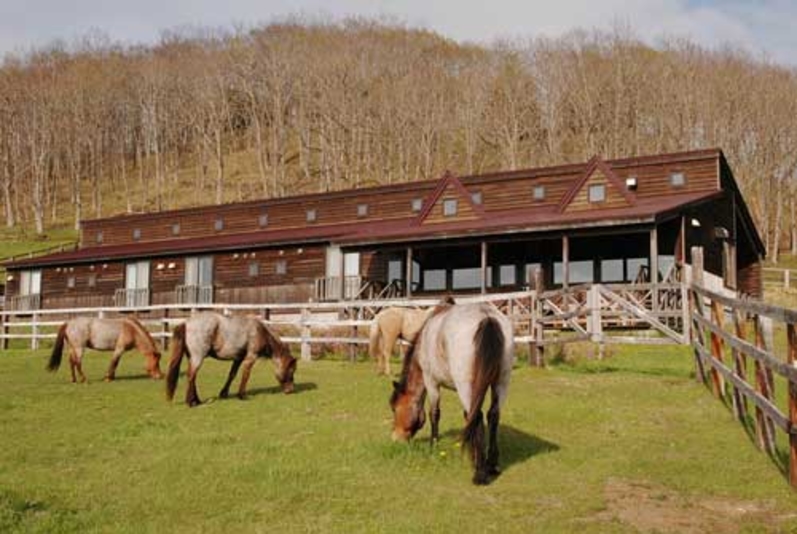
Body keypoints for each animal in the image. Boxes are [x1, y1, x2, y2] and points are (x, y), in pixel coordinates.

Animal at [165, 312, 296, 408]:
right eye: (291, 371)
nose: (290, 390)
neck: (259, 330)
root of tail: (186, 323)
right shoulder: (251, 357)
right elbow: (246, 375)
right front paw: (242, 395)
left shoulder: (238, 359)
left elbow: (232, 375)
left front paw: (224, 393)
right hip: (198, 357)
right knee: (191, 375)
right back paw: (191, 402)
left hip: (192, 358)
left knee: (193, 377)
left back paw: (196, 400)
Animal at [388, 304, 512, 488]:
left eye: (395, 409)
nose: (396, 438)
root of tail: (487, 316)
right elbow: (466, 418)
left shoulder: (431, 381)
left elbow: (434, 414)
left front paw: (433, 445)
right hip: (501, 382)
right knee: (493, 415)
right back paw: (491, 465)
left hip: (466, 386)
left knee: (477, 416)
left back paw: (480, 472)